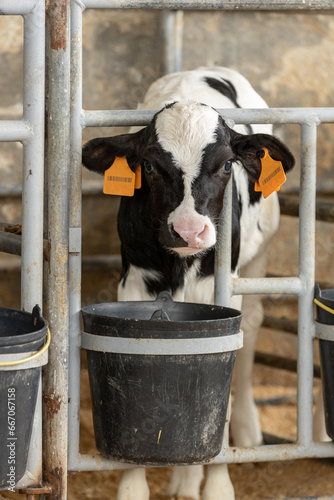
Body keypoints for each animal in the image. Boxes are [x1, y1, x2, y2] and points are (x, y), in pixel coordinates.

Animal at [83, 68, 294, 500]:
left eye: (227, 165)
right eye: (149, 166)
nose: (188, 231)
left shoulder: (220, 288)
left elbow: (223, 389)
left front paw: (218, 485)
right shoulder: (133, 281)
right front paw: (134, 486)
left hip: (259, 258)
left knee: (252, 331)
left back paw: (246, 431)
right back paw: (184, 480)